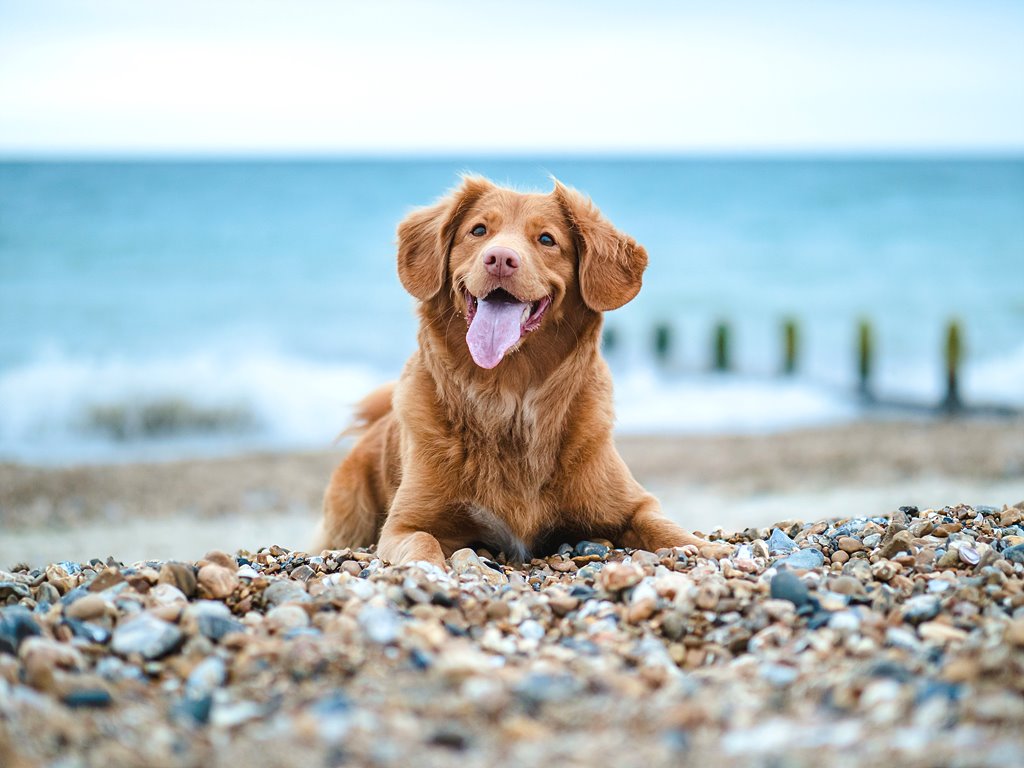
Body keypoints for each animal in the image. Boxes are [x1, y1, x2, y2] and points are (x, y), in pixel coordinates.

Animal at [319, 177, 729, 569]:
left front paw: (706, 548)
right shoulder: (404, 524)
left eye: (547, 239)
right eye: (478, 230)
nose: (500, 258)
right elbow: (422, 541)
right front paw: (426, 570)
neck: (508, 397)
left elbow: (663, 525)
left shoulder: (633, 503)